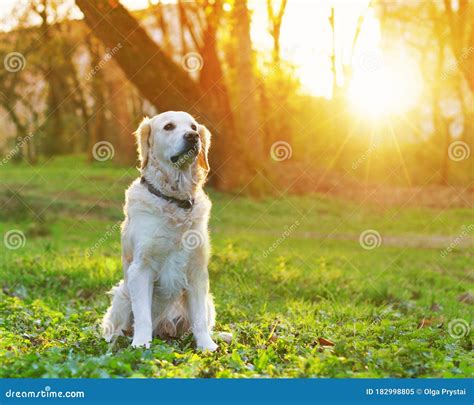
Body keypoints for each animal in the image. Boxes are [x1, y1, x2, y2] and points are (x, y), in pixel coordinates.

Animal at [101, 110, 228, 350]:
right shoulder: (141, 268)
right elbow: (142, 316)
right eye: (168, 126)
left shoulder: (197, 270)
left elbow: (199, 320)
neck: (176, 201)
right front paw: (141, 344)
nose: (192, 137)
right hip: (122, 294)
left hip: (208, 301)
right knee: (116, 327)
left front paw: (207, 346)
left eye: (194, 127)